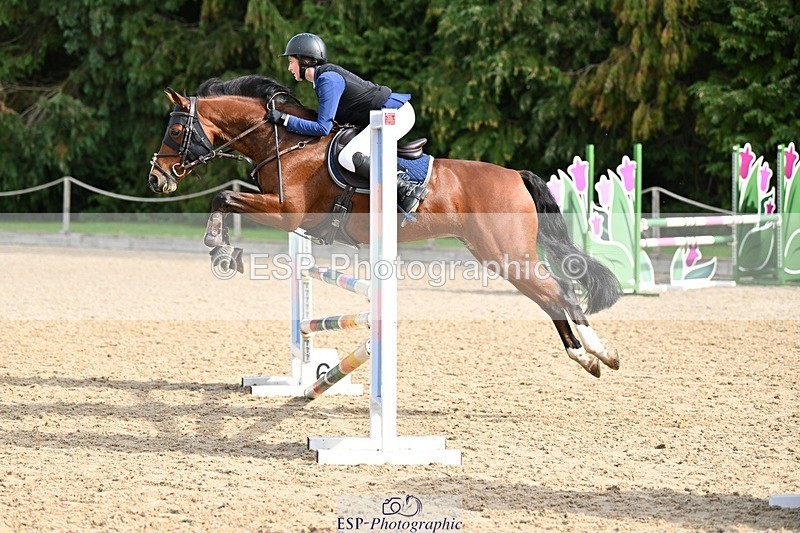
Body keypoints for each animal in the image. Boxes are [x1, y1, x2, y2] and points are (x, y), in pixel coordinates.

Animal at [147, 74, 622, 377]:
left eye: (175, 132)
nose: (156, 179)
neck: (284, 141)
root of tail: (515, 175)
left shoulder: (286, 212)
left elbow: (223, 197)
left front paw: (219, 247)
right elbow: (226, 199)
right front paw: (225, 250)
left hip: (506, 253)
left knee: (559, 293)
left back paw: (601, 353)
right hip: (497, 256)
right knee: (548, 297)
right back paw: (586, 359)